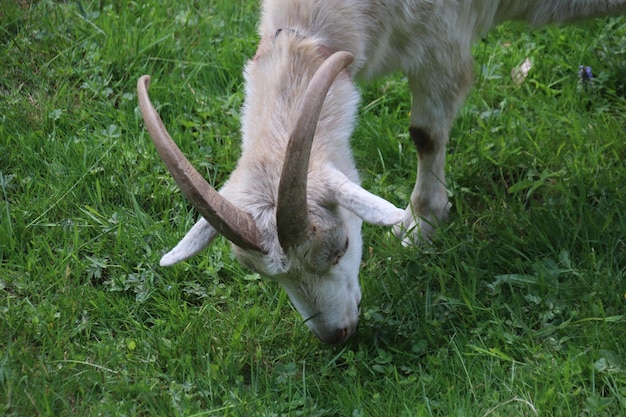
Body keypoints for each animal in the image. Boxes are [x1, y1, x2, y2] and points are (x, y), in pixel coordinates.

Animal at [138, 0, 624, 342]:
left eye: (341, 247)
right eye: (265, 275)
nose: (335, 337)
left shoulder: (441, 43)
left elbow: (425, 134)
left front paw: (421, 225)